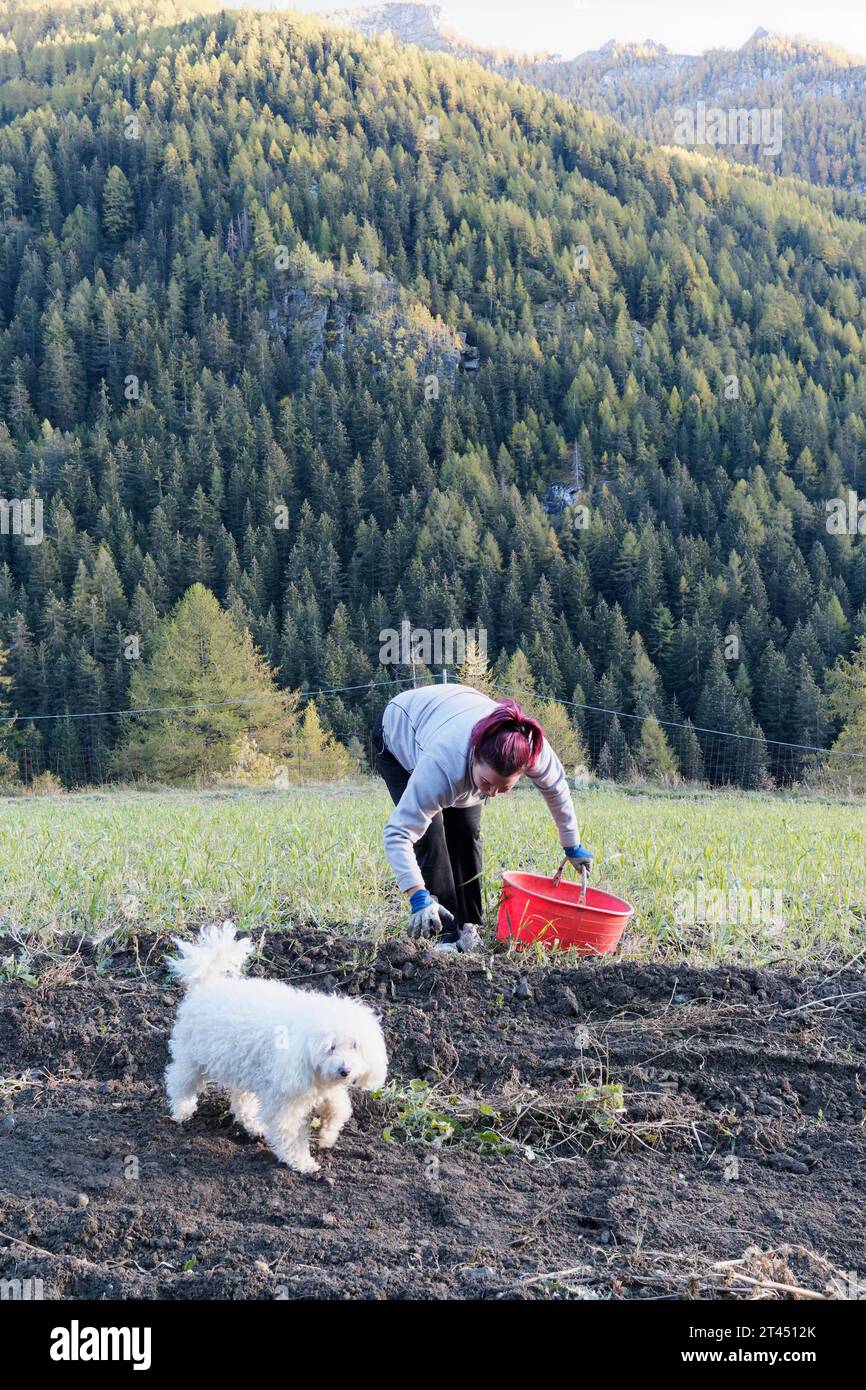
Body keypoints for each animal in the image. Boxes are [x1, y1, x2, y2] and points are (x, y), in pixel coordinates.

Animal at [164, 922, 389, 1173]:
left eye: (355, 1045)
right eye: (330, 1047)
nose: (345, 1071)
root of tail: (208, 984)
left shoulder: (321, 1085)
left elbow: (339, 1106)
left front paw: (327, 1133)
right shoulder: (285, 1097)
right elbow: (289, 1133)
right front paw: (302, 1162)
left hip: (242, 1066)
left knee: (241, 1100)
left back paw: (252, 1125)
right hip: (193, 1058)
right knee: (179, 1081)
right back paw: (182, 1111)